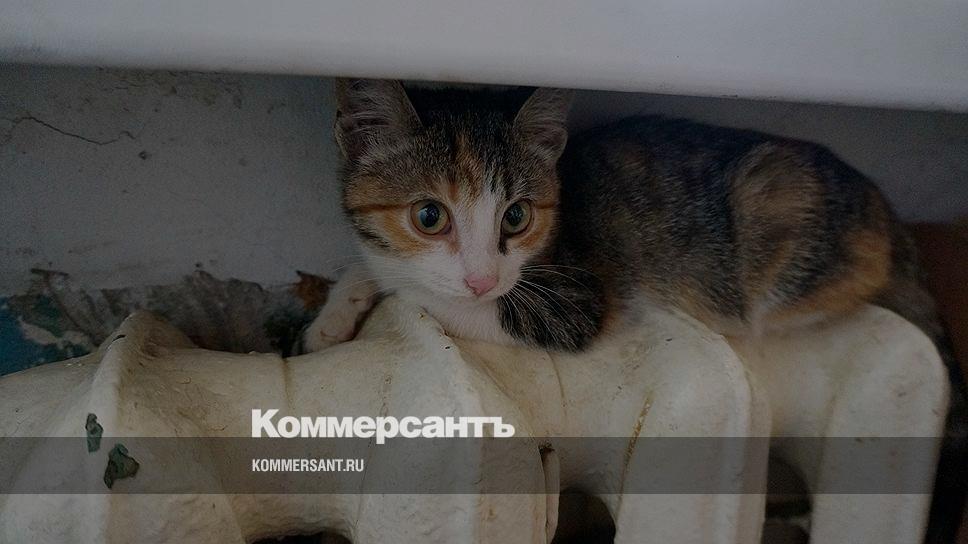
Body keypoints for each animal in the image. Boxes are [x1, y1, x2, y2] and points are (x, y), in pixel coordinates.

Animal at [302, 78, 944, 355]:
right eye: (430, 216)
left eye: (516, 217)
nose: (483, 278)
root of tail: (887, 215)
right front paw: (335, 313)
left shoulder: (574, 306)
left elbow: (434, 300)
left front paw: (375, 294)